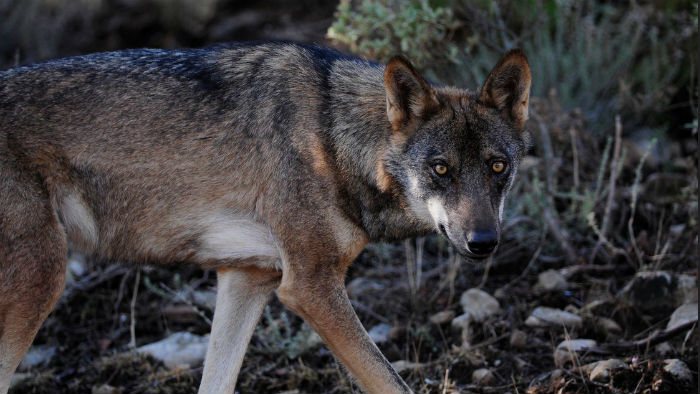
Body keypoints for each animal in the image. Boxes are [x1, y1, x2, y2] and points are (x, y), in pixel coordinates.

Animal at [0, 41, 532, 392]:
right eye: (441, 169)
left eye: (497, 167)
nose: (484, 242)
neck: (333, 138)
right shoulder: (310, 287)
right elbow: (389, 380)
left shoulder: (248, 278)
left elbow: (217, 381)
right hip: (42, 279)